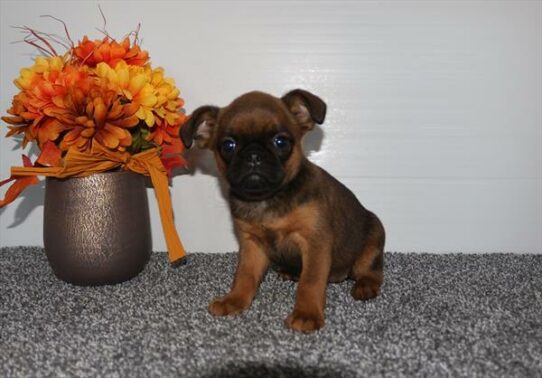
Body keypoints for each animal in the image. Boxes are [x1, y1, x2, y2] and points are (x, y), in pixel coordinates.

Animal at [183, 90, 386, 332]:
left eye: (280, 142)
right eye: (228, 146)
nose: (253, 155)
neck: (267, 199)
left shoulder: (315, 243)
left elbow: (310, 282)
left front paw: (307, 314)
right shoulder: (251, 245)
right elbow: (244, 276)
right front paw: (235, 300)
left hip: (374, 238)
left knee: (372, 271)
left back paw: (365, 286)